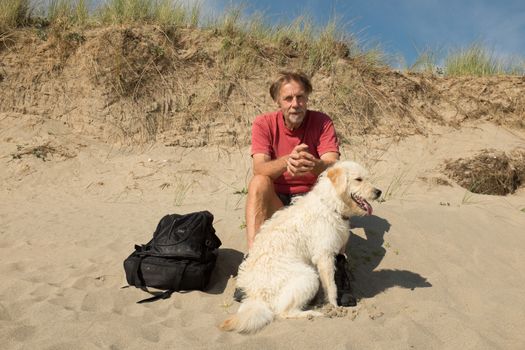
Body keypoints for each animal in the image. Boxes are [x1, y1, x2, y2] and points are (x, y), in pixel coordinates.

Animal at [218, 160, 380, 332]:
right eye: (358, 179)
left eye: (367, 177)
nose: (379, 192)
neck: (330, 204)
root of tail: (257, 295)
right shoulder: (324, 256)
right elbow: (331, 287)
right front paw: (334, 307)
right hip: (308, 277)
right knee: (282, 312)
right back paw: (311, 314)